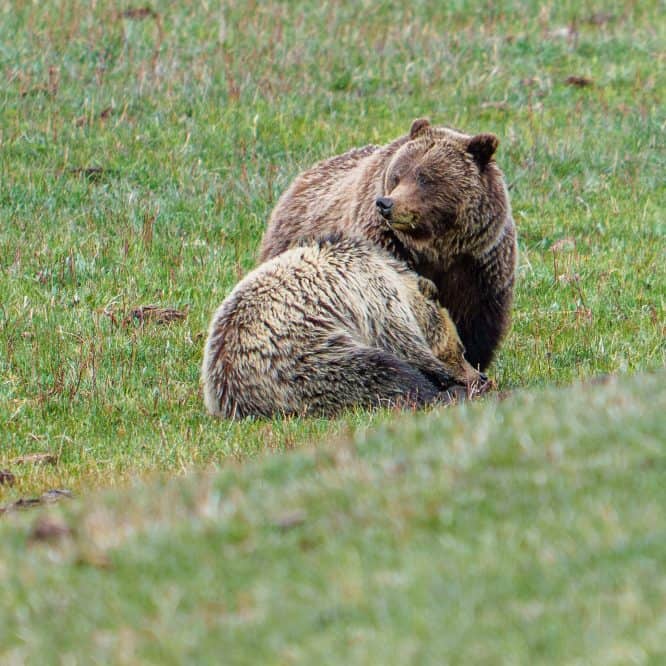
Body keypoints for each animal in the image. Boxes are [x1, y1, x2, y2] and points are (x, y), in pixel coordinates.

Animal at [202, 235, 487, 419]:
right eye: (461, 349)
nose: (478, 375)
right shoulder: (377, 301)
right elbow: (402, 344)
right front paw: (447, 377)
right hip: (301, 358)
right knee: (377, 371)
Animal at [259, 118, 517, 372]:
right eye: (397, 175)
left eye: (425, 178)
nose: (386, 204)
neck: (438, 248)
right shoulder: (388, 249)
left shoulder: (478, 265)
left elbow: (476, 323)